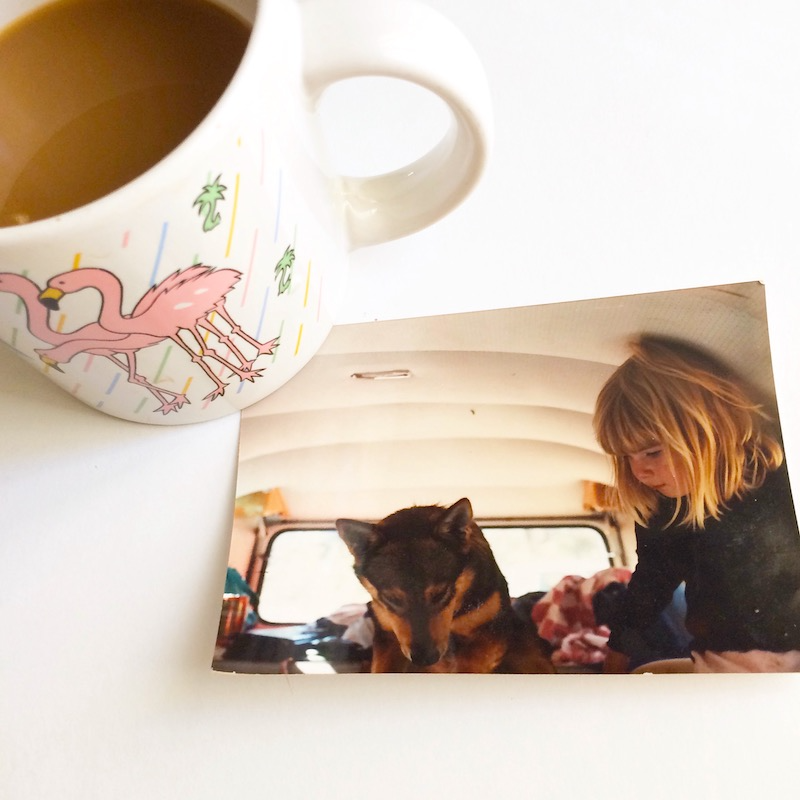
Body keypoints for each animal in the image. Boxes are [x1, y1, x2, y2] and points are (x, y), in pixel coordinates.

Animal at [334, 496, 552, 672]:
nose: (425, 660)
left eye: (440, 594)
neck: (455, 614)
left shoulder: (490, 633)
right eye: (391, 599)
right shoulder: (385, 634)